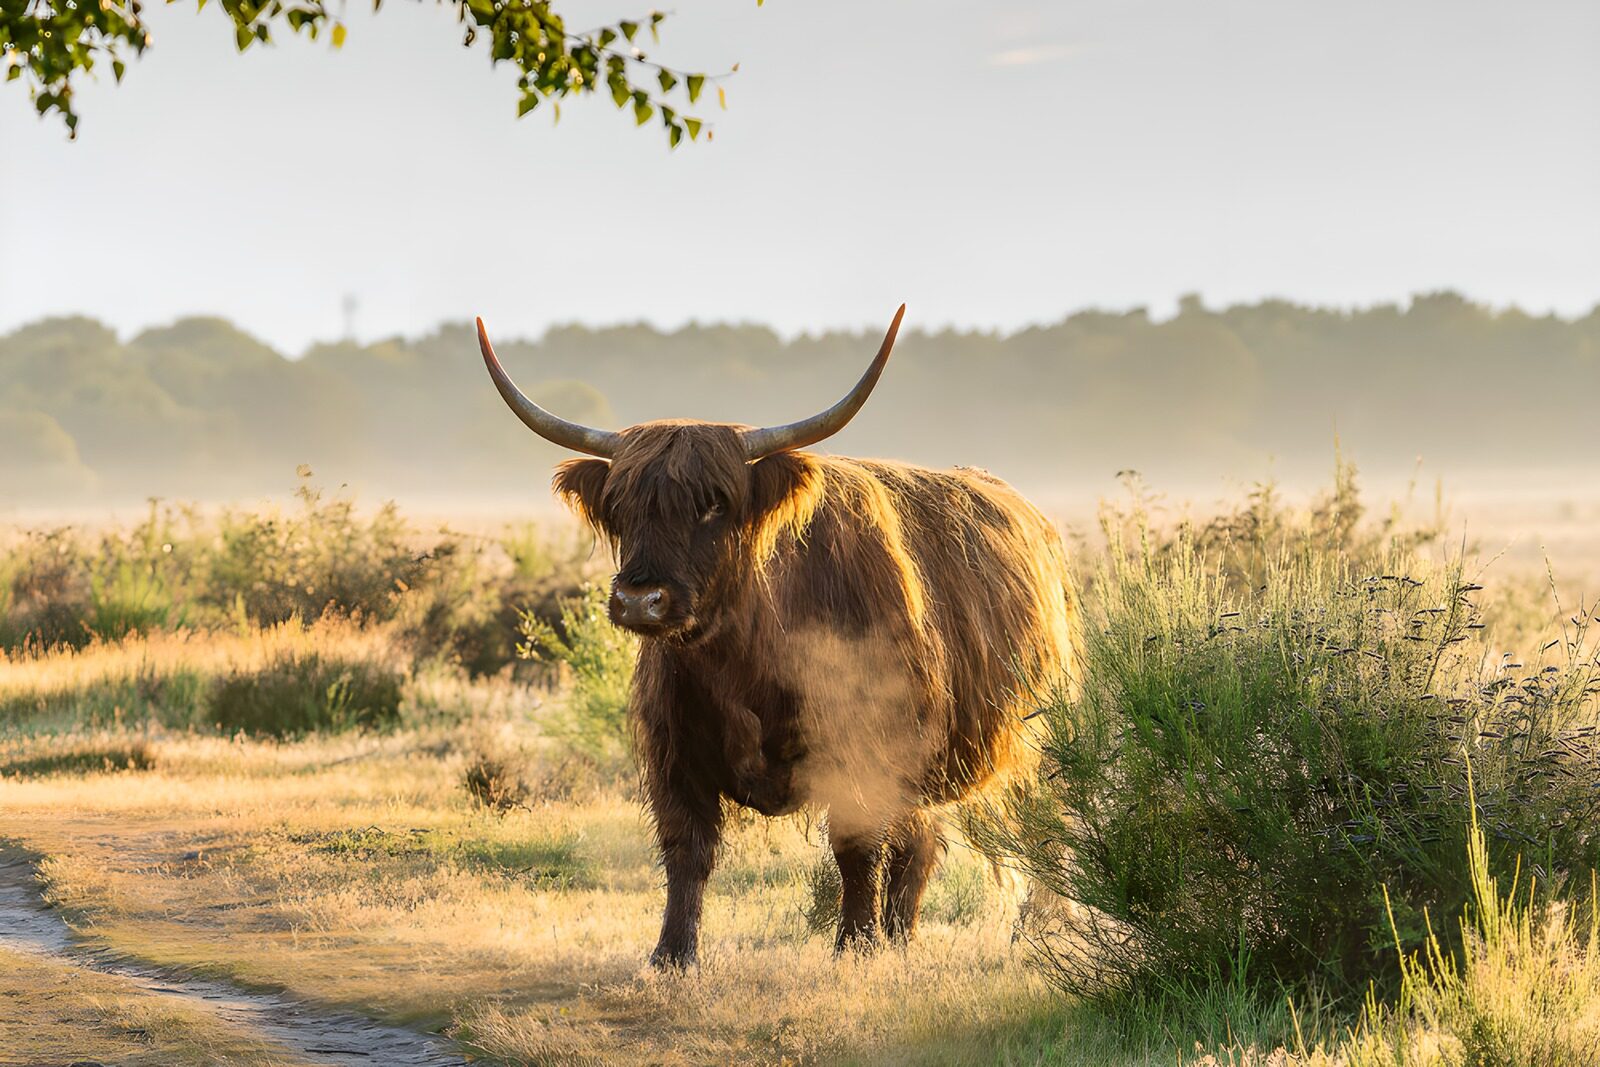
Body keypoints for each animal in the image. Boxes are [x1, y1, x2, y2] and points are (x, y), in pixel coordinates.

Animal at [476, 306, 1080, 967]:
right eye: (621, 506)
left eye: (714, 504)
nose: (641, 600)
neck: (742, 662)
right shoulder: (673, 751)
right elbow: (686, 850)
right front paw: (671, 955)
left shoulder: (861, 748)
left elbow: (856, 847)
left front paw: (853, 946)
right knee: (920, 843)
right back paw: (902, 938)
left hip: (1038, 740)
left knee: (1043, 825)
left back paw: (1043, 928)